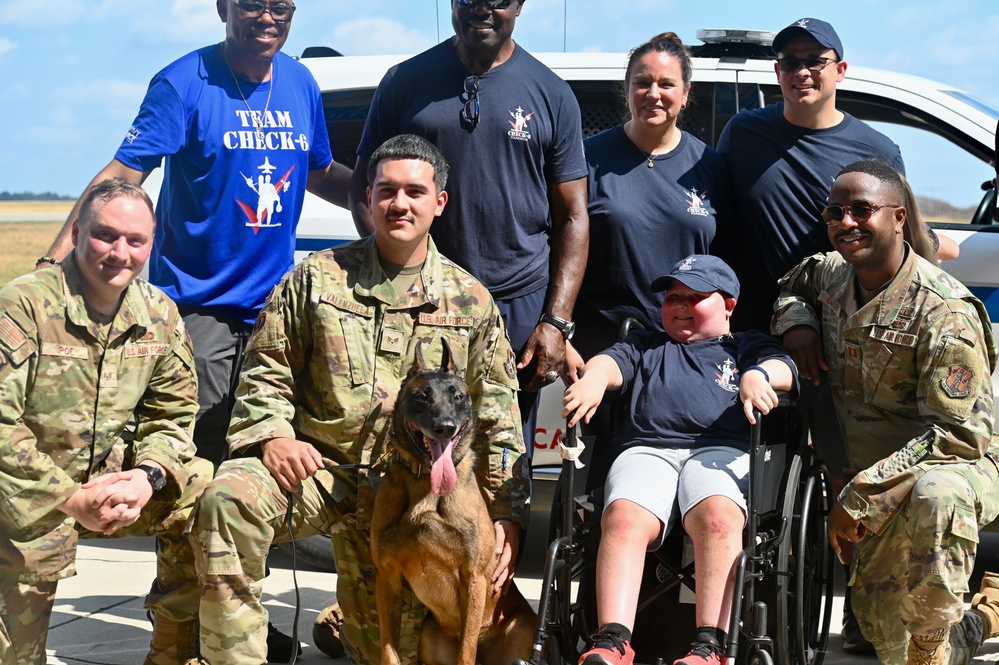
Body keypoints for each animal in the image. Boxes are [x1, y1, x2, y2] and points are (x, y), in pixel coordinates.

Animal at [370, 340, 540, 660]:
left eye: (458, 397)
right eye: (423, 397)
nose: (445, 427)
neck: (425, 481)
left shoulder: (473, 579)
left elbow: (466, 653)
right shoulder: (387, 579)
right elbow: (388, 652)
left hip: (523, 630)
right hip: (429, 638)